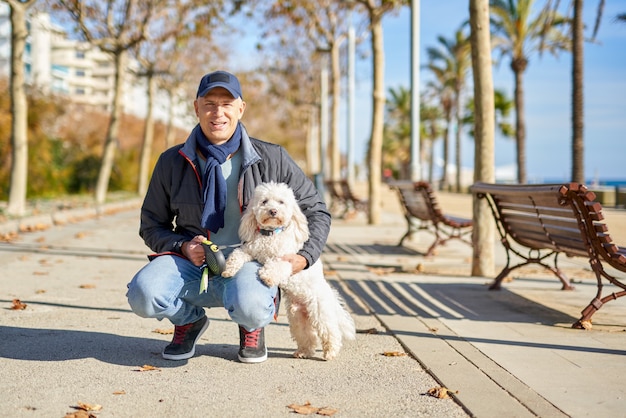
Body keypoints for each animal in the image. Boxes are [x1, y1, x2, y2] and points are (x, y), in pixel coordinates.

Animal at [222, 182, 354, 360]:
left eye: (281, 202)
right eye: (264, 201)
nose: (273, 211)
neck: (270, 234)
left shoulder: (288, 259)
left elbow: (276, 265)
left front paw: (267, 276)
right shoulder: (250, 250)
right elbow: (238, 253)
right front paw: (228, 268)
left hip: (320, 312)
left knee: (330, 332)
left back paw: (330, 352)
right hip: (297, 317)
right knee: (307, 335)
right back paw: (303, 351)